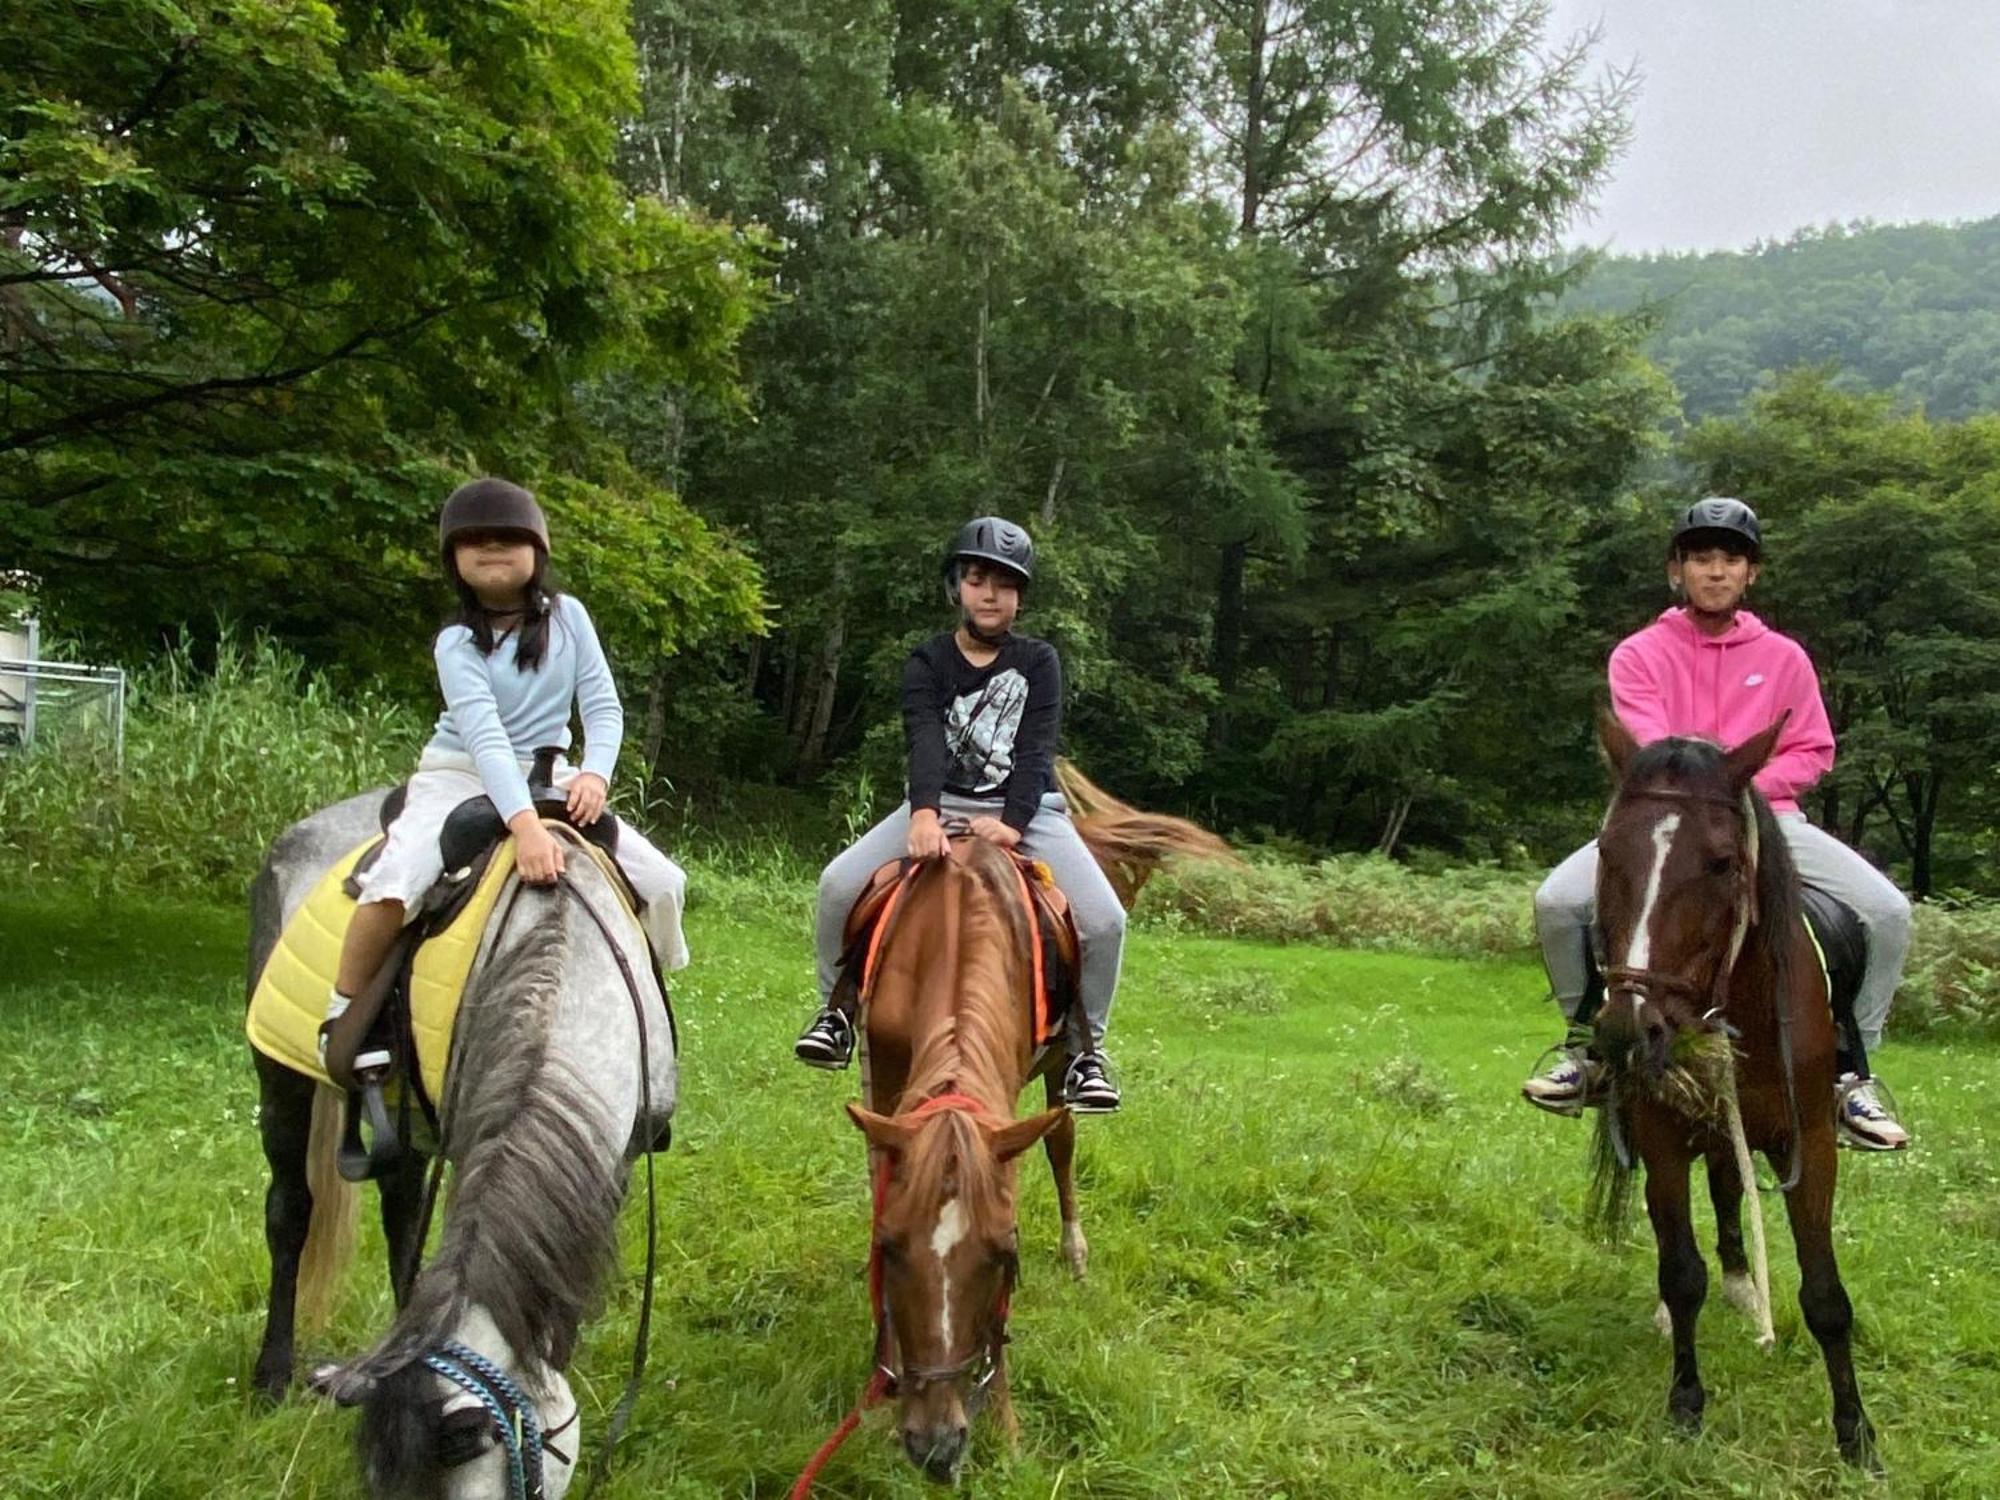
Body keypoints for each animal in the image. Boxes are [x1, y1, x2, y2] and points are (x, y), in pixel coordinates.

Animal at [247, 792, 672, 1496]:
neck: (572, 974)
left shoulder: (612, 1164)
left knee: (398, 1204)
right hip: (281, 1074)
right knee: (290, 1212)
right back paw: (270, 1375)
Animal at [840, 768, 1224, 1488]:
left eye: (1005, 1255)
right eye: (890, 1249)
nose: (937, 1446)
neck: (954, 930)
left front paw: (1007, 1423)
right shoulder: (889, 1083)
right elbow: (884, 1183)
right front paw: (880, 1384)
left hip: (1059, 1067)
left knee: (1063, 1144)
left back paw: (1076, 1254)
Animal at [1576, 716, 1872, 1472]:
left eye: (1720, 864)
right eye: (1608, 854)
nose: (1629, 1030)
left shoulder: (1810, 1145)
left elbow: (1826, 1294)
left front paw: (1856, 1436)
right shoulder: (1658, 1134)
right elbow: (1681, 1273)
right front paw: (1686, 1408)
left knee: (1729, 1184)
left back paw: (1743, 1282)